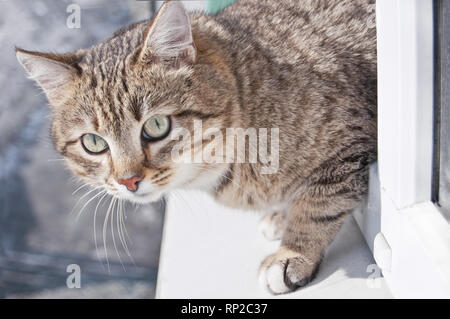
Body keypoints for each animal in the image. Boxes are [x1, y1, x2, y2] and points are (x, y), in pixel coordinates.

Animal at [16, 0, 376, 296]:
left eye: (156, 126)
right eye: (93, 143)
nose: (128, 181)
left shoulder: (348, 138)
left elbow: (318, 205)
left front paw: (293, 253)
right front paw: (283, 215)